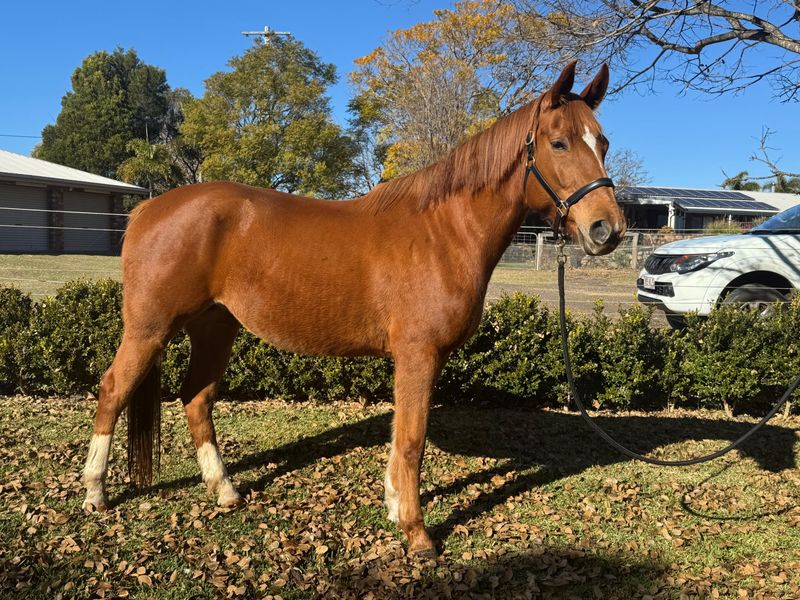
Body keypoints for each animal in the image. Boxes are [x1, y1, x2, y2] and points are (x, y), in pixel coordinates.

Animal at [81, 61, 625, 557]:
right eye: (559, 143)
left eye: (603, 142)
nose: (607, 228)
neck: (443, 232)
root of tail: (148, 209)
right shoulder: (417, 355)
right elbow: (412, 439)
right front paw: (417, 534)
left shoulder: (419, 359)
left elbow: (401, 435)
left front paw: (394, 506)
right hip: (150, 330)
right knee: (112, 392)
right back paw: (95, 494)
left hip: (215, 327)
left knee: (196, 397)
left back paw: (225, 491)